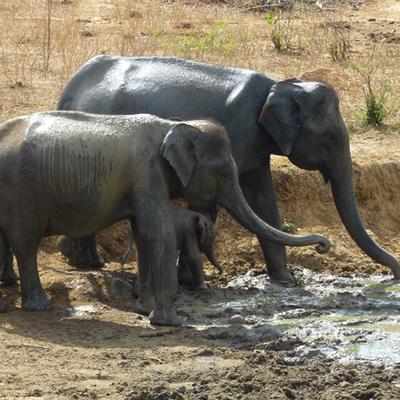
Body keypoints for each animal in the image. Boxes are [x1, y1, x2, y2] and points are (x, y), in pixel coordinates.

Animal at [0, 111, 330, 326]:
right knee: (26, 242)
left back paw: (9, 284)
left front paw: (143, 309)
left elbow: (144, 233)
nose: (323, 245)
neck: (174, 125)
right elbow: (158, 233)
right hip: (19, 190)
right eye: (224, 172)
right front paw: (171, 322)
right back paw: (40, 307)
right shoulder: (148, 174)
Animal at [55, 55, 400, 282]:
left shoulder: (256, 148)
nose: (394, 275)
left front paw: (285, 282)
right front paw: (190, 280)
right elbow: (210, 202)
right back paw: (85, 261)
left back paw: (85, 261)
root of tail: (69, 89)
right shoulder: (237, 134)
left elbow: (263, 202)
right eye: (329, 137)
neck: (280, 84)